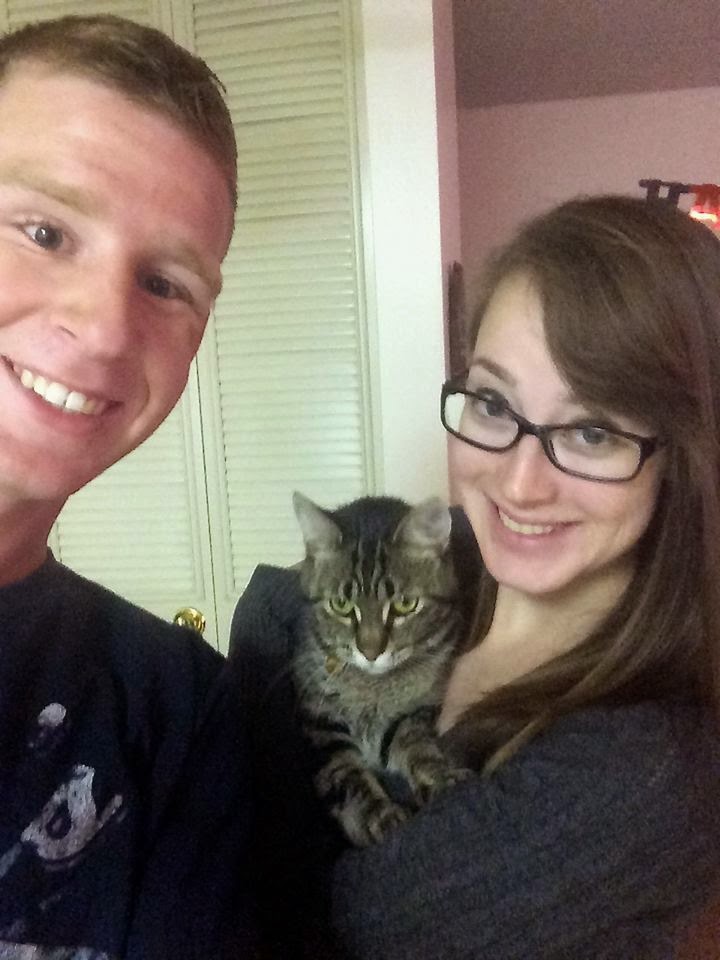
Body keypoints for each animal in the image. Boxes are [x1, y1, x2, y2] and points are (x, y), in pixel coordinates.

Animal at [291, 491, 469, 847]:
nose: (370, 651)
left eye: (405, 605)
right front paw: (380, 815)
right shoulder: (323, 730)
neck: (373, 689)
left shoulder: (414, 715)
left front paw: (441, 776)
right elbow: (350, 778)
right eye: (341, 605)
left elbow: (420, 749)